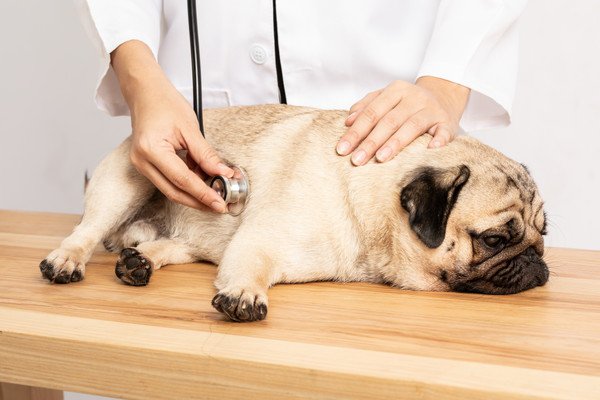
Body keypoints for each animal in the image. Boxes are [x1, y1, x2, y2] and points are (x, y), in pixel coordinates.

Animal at [39, 104, 552, 322]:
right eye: (494, 240)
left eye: (542, 235)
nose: (535, 260)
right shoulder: (260, 242)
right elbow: (249, 270)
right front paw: (245, 294)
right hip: (127, 182)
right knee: (85, 232)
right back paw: (66, 261)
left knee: (172, 245)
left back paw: (140, 261)